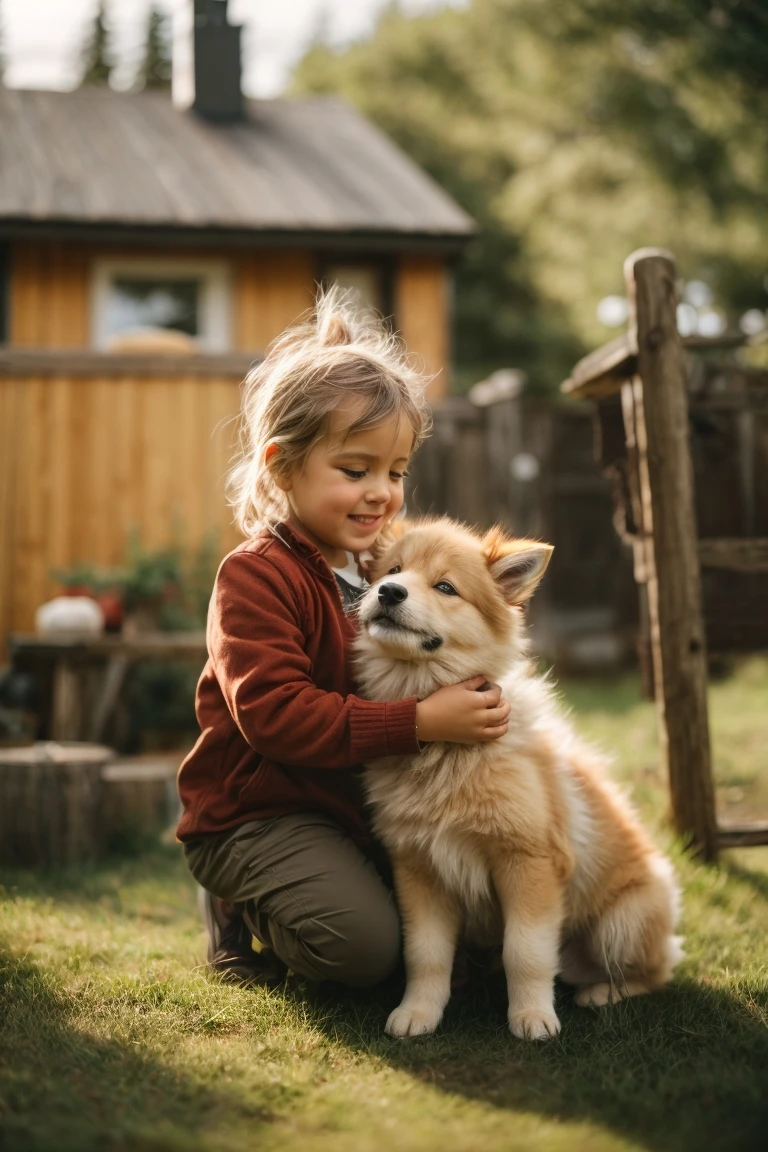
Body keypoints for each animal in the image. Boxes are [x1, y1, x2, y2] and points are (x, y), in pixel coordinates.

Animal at [354, 518, 686, 1041]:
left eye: (445, 587)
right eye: (392, 570)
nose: (388, 592)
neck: (450, 753)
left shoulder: (528, 863)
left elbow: (525, 952)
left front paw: (532, 1017)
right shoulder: (419, 869)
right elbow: (425, 955)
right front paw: (418, 1012)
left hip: (623, 923)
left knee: (653, 974)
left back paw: (602, 993)